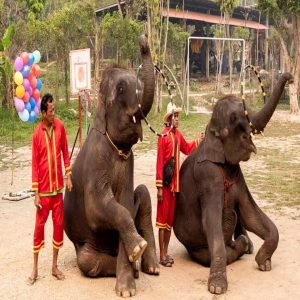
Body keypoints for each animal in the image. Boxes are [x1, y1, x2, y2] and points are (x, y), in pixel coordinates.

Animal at [63, 35, 159, 298]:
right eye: (121, 90)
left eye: (139, 84)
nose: (143, 40)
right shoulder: (97, 160)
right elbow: (99, 208)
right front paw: (135, 253)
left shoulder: (130, 161)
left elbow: (124, 202)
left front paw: (127, 285)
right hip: (85, 248)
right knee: (88, 262)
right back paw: (135, 268)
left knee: (143, 192)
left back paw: (150, 267)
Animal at [173, 73, 292, 296]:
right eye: (235, 120)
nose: (289, 77)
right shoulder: (207, 176)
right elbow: (211, 221)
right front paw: (217, 287)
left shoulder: (238, 175)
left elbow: (250, 214)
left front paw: (264, 263)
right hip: (195, 249)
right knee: (211, 253)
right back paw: (243, 243)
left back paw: (247, 244)